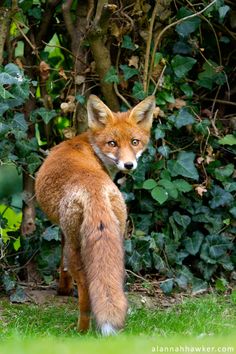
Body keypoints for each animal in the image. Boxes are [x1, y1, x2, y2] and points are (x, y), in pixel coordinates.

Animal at [35, 95, 155, 336]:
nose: (129, 164)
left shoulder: (64, 233)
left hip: (76, 249)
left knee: (86, 289)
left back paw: (81, 330)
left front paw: (63, 289)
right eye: (112, 143)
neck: (89, 146)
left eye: (134, 142)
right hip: (118, 240)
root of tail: (94, 189)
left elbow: (62, 265)